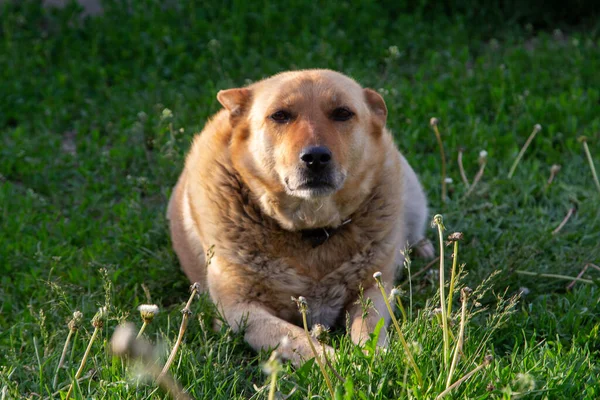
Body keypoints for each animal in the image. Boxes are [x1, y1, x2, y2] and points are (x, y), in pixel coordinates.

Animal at [166, 69, 434, 366]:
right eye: (280, 115)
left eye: (342, 113)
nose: (316, 157)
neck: (312, 230)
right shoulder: (239, 311)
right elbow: (296, 339)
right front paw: (337, 361)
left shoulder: (374, 289)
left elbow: (367, 327)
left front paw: (374, 356)